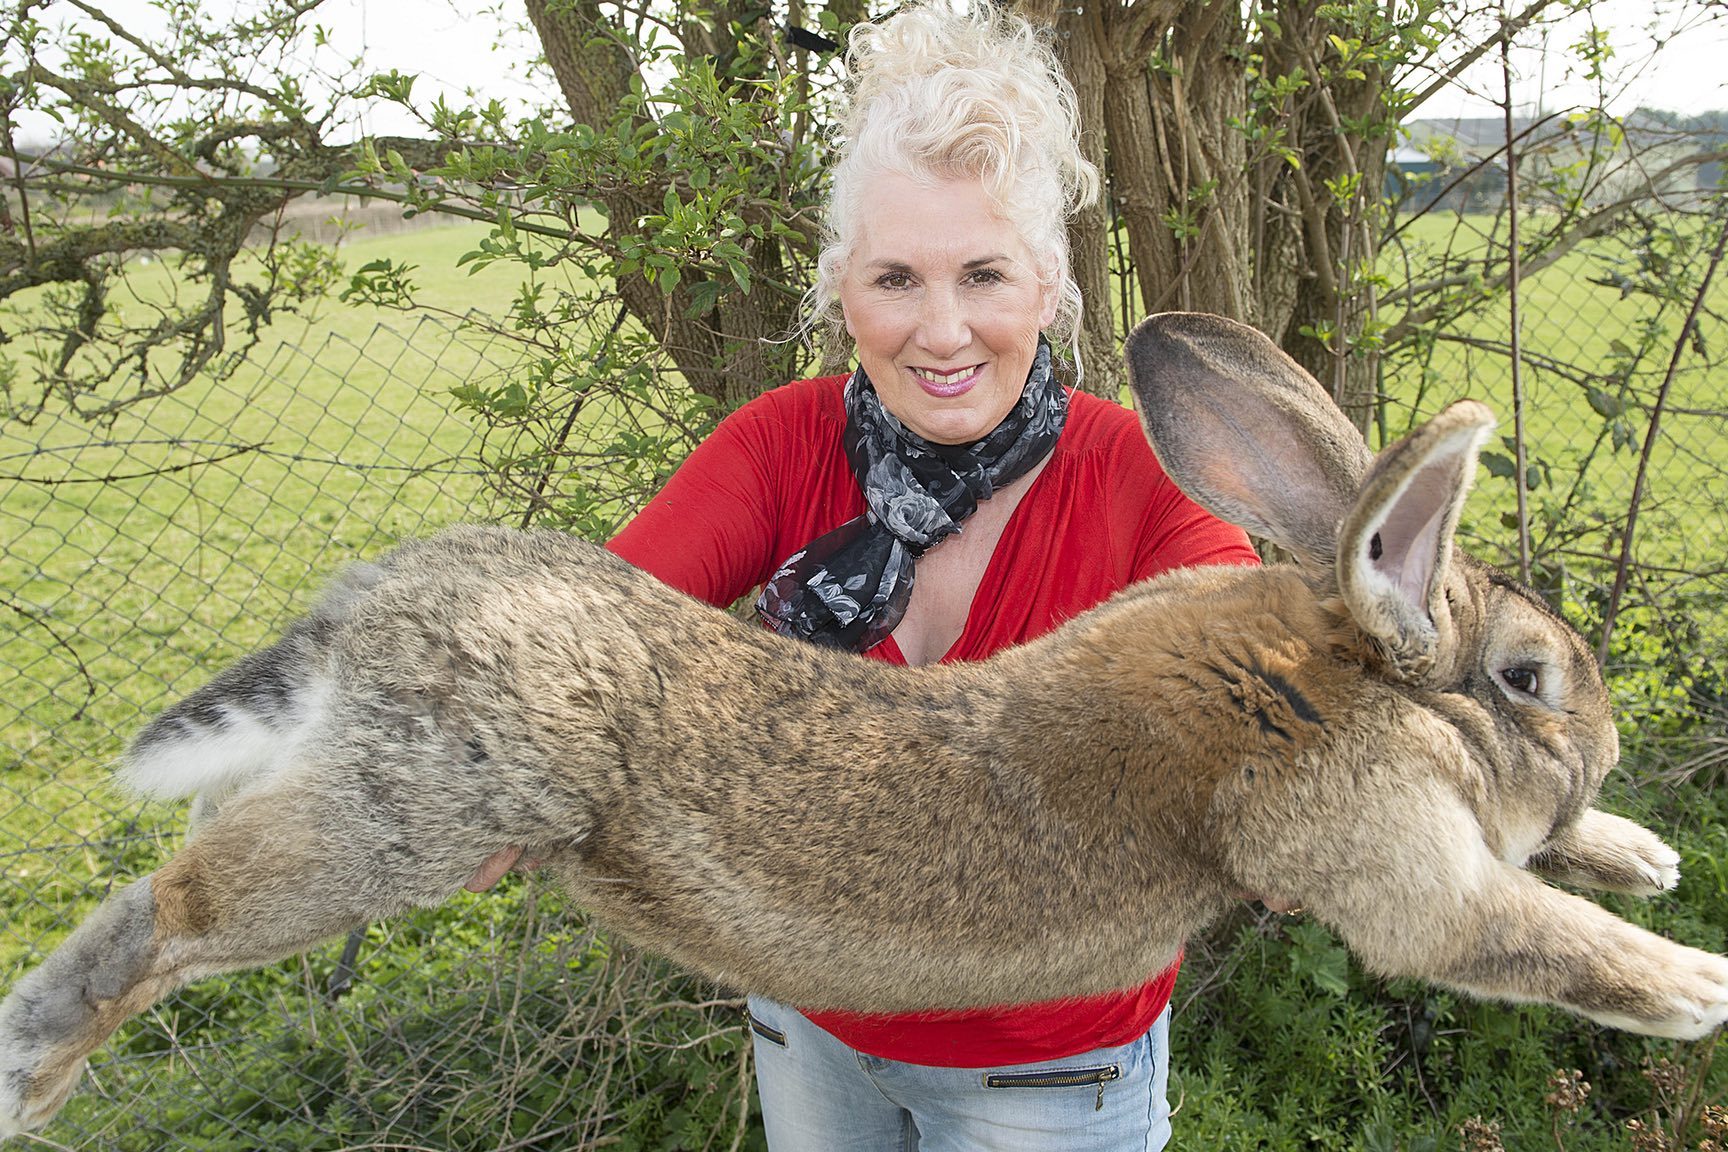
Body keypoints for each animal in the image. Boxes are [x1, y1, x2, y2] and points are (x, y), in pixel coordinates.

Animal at [3, 310, 1728, 1139]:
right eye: (1529, 679)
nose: (1605, 744)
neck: (1340, 670)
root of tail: (364, 612)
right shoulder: (1391, 862)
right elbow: (1526, 939)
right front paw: (1700, 985)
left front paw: (1640, 853)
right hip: (417, 818)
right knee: (173, 911)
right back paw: (36, 1064)